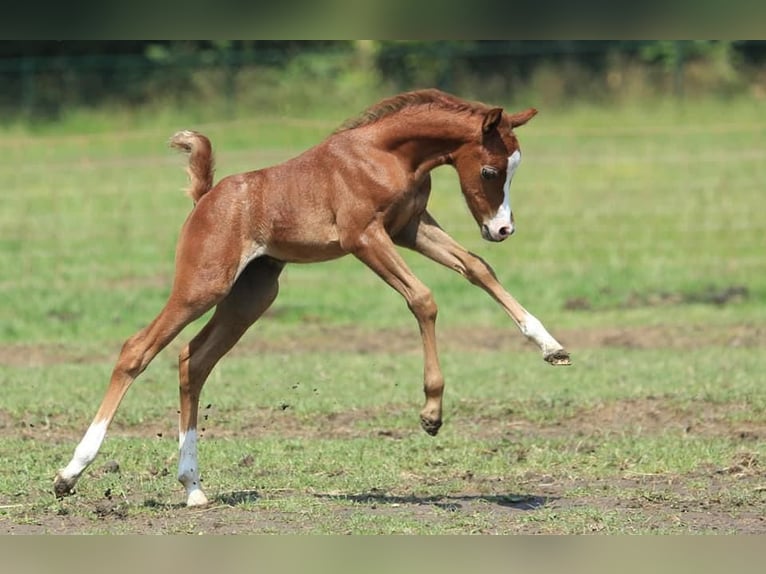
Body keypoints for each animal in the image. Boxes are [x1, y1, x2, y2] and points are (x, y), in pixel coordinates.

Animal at [52, 89, 568, 508]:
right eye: (490, 170)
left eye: (512, 169)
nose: (502, 229)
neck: (386, 154)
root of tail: (206, 198)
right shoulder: (364, 237)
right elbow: (423, 299)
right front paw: (431, 413)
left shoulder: (409, 228)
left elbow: (478, 269)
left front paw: (551, 347)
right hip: (204, 284)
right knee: (137, 350)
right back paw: (69, 474)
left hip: (252, 294)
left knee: (193, 360)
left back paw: (193, 487)